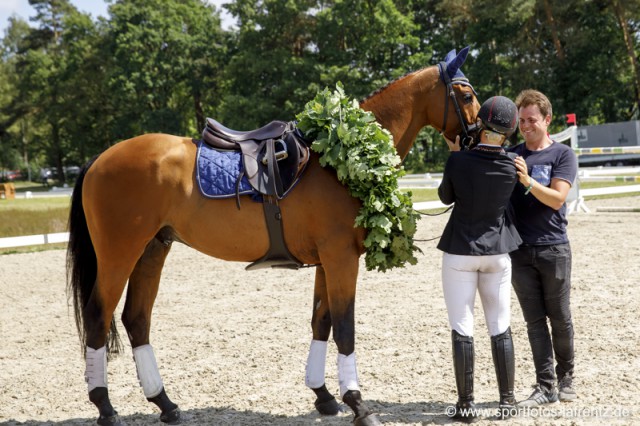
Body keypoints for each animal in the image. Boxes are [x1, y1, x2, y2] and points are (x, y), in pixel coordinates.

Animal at [67, 47, 480, 426]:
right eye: (466, 95)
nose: (477, 137)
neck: (339, 162)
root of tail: (99, 158)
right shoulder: (341, 258)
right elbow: (345, 328)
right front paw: (358, 404)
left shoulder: (327, 261)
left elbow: (321, 322)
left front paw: (324, 396)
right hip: (120, 254)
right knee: (99, 316)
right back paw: (105, 407)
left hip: (153, 250)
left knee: (136, 319)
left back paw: (165, 403)